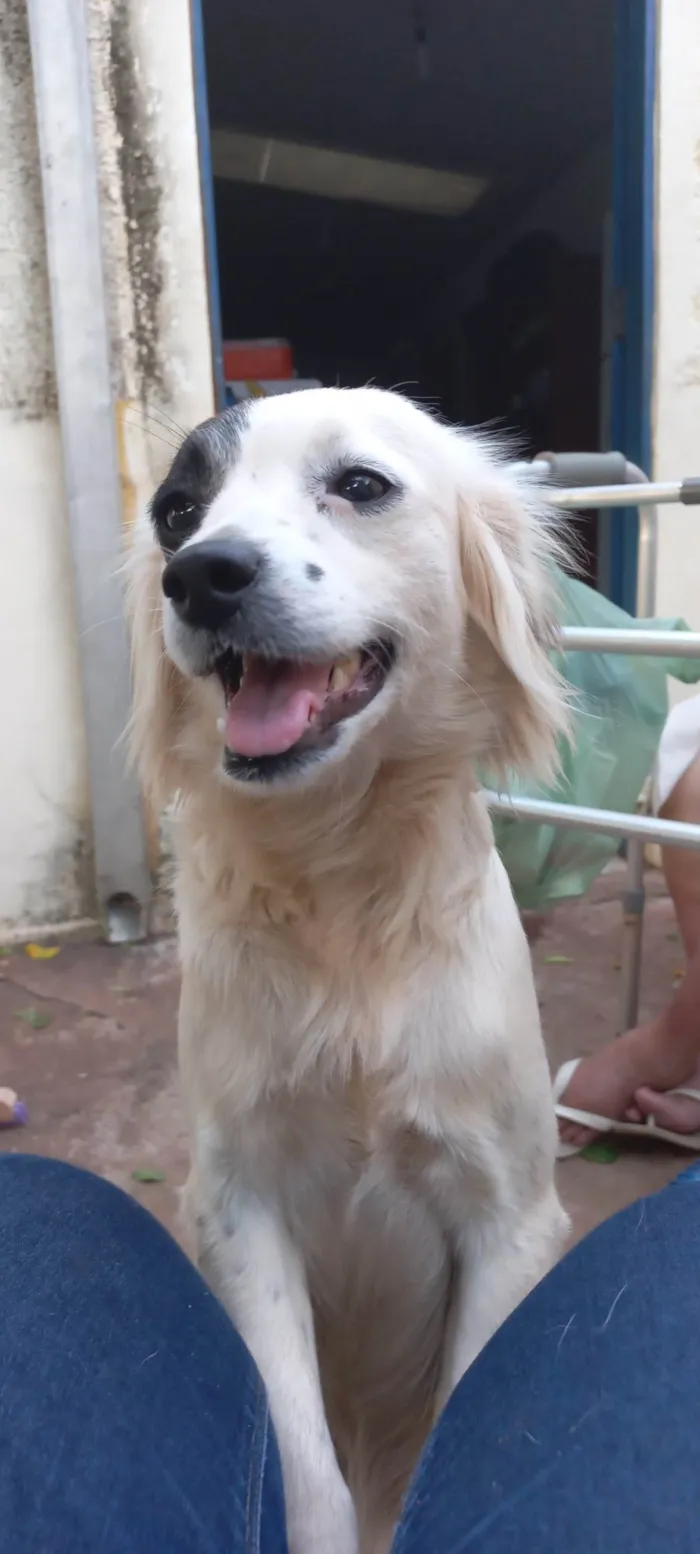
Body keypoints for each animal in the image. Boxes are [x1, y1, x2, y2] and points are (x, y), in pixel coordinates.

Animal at [129, 388, 569, 1554]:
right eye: (176, 511)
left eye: (361, 485)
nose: (200, 575)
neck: (343, 905)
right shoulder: (239, 1207)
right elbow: (305, 1470)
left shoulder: (509, 1218)